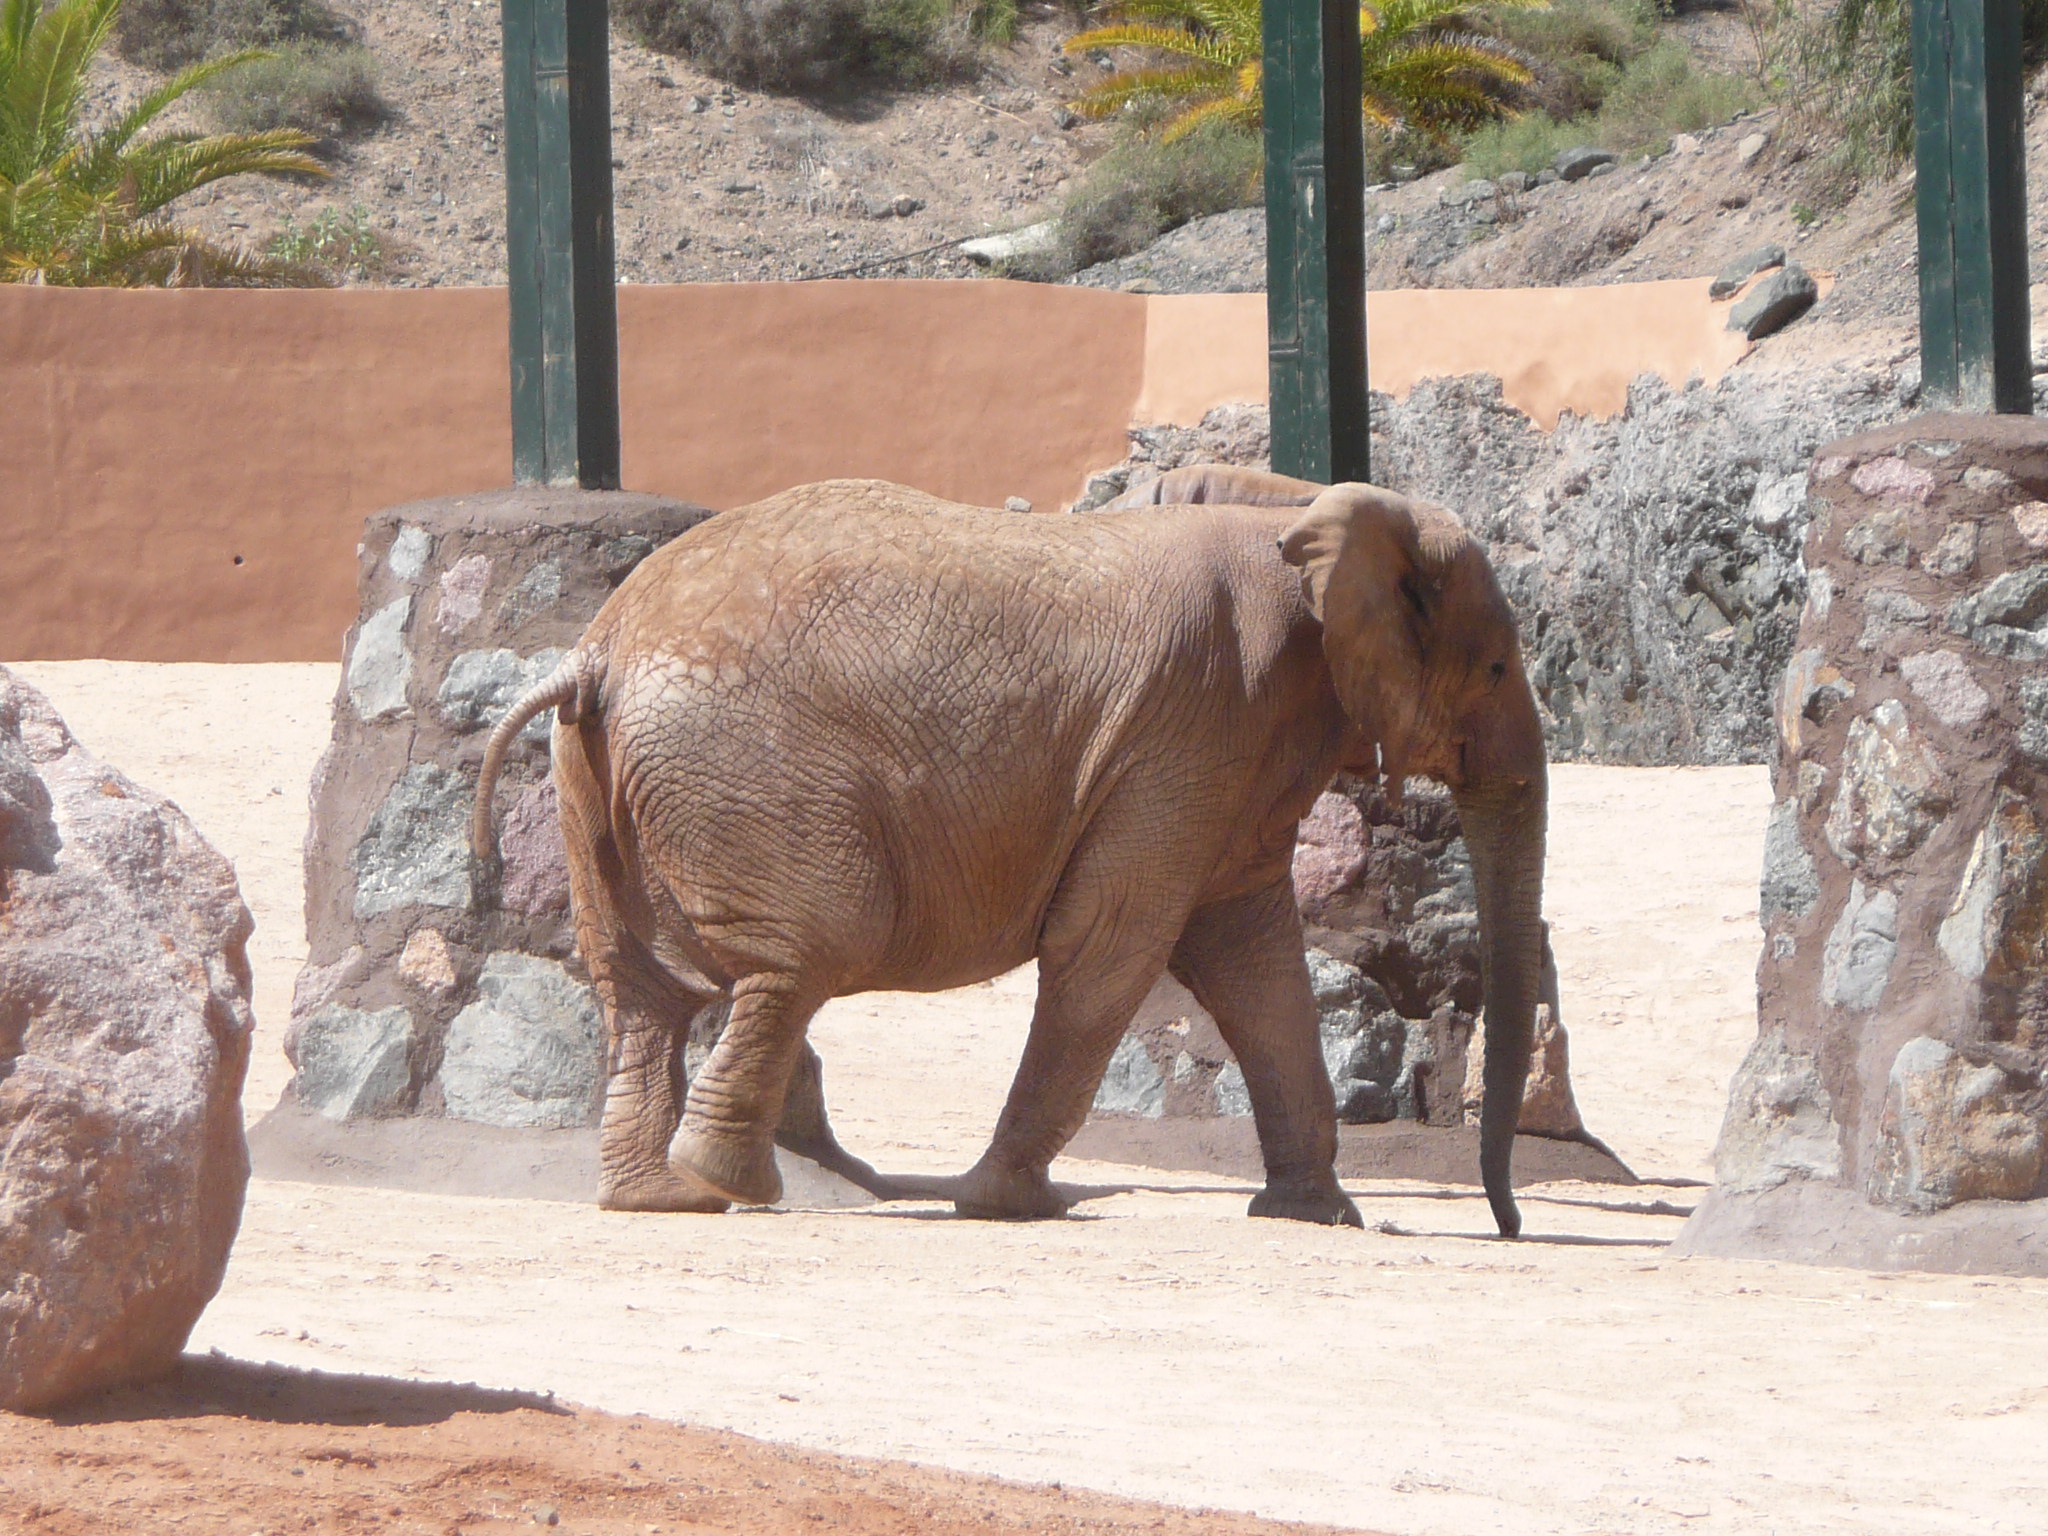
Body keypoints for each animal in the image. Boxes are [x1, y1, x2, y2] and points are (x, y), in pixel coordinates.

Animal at [472, 467, 1549, 1237]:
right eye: (1498, 667)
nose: (1506, 1226)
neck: (1299, 515)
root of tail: (597, 653)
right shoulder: (1190, 727)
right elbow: (1111, 947)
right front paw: (1007, 1205)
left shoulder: (1225, 758)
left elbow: (1252, 963)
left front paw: (1315, 1216)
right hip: (743, 774)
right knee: (805, 953)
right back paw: (735, 1185)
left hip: (591, 786)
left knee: (640, 988)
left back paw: (661, 1199)